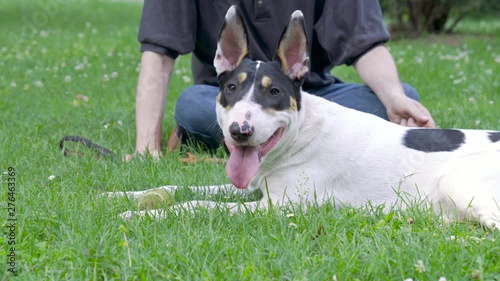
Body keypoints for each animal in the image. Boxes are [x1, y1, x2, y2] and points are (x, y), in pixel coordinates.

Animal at [110, 6, 500, 229]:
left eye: (274, 93)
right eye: (231, 88)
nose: (240, 132)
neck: (299, 138)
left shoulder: (273, 207)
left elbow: (196, 204)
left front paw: (141, 215)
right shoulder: (250, 187)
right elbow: (177, 188)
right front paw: (115, 195)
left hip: (459, 182)